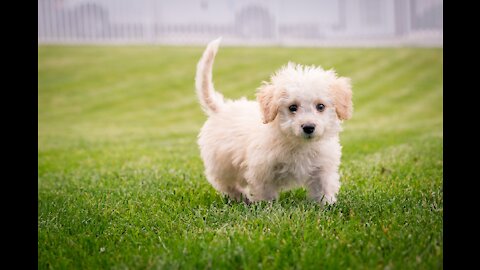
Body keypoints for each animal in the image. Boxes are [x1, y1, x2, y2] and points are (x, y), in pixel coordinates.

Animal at [195, 38, 352, 205]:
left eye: (320, 106)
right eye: (292, 107)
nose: (308, 127)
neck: (298, 144)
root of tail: (221, 107)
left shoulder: (322, 168)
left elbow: (324, 189)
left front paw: (327, 205)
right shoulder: (262, 171)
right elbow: (266, 194)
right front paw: (266, 207)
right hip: (221, 164)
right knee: (225, 183)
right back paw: (241, 197)